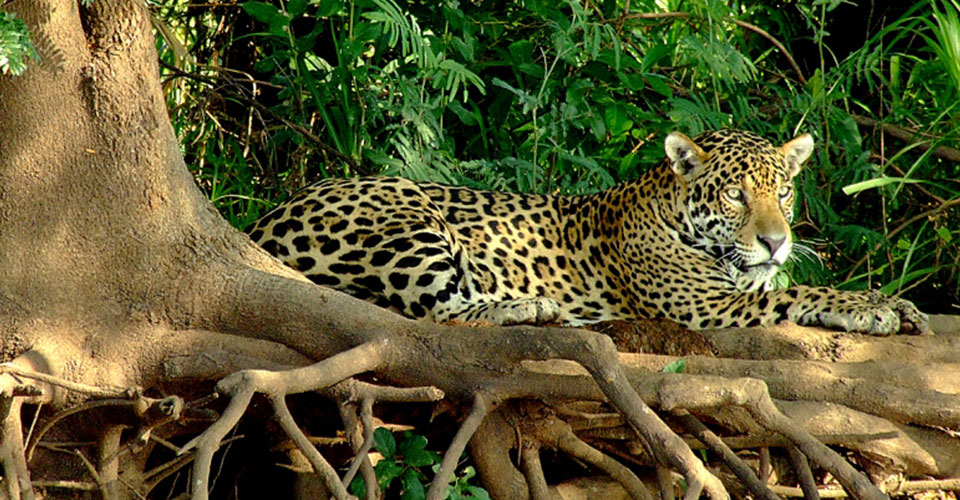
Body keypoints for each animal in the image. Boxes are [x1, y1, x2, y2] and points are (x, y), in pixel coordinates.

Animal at [247, 129, 928, 335]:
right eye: (735, 194)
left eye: (782, 192)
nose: (775, 241)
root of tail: (262, 223)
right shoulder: (704, 305)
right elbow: (800, 293)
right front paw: (873, 310)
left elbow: (792, 285)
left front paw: (894, 304)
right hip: (407, 220)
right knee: (439, 312)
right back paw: (531, 307)